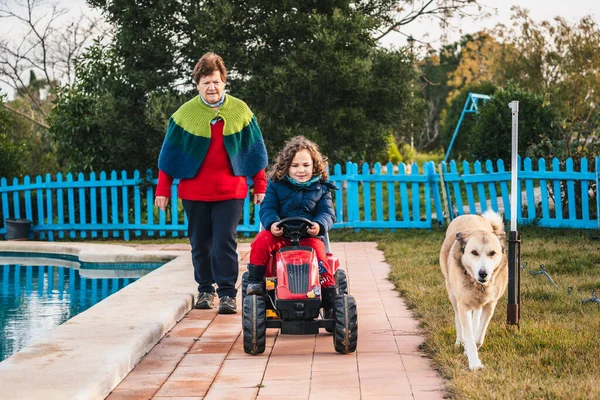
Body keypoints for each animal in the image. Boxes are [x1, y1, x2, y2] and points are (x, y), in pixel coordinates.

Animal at [438, 211, 508, 370]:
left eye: (492, 253)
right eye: (474, 252)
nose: (483, 273)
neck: (479, 285)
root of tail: (468, 215)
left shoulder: (490, 305)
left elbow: (479, 336)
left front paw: (470, 350)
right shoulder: (463, 304)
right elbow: (468, 335)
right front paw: (474, 363)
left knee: (476, 316)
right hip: (452, 294)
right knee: (458, 318)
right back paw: (459, 341)